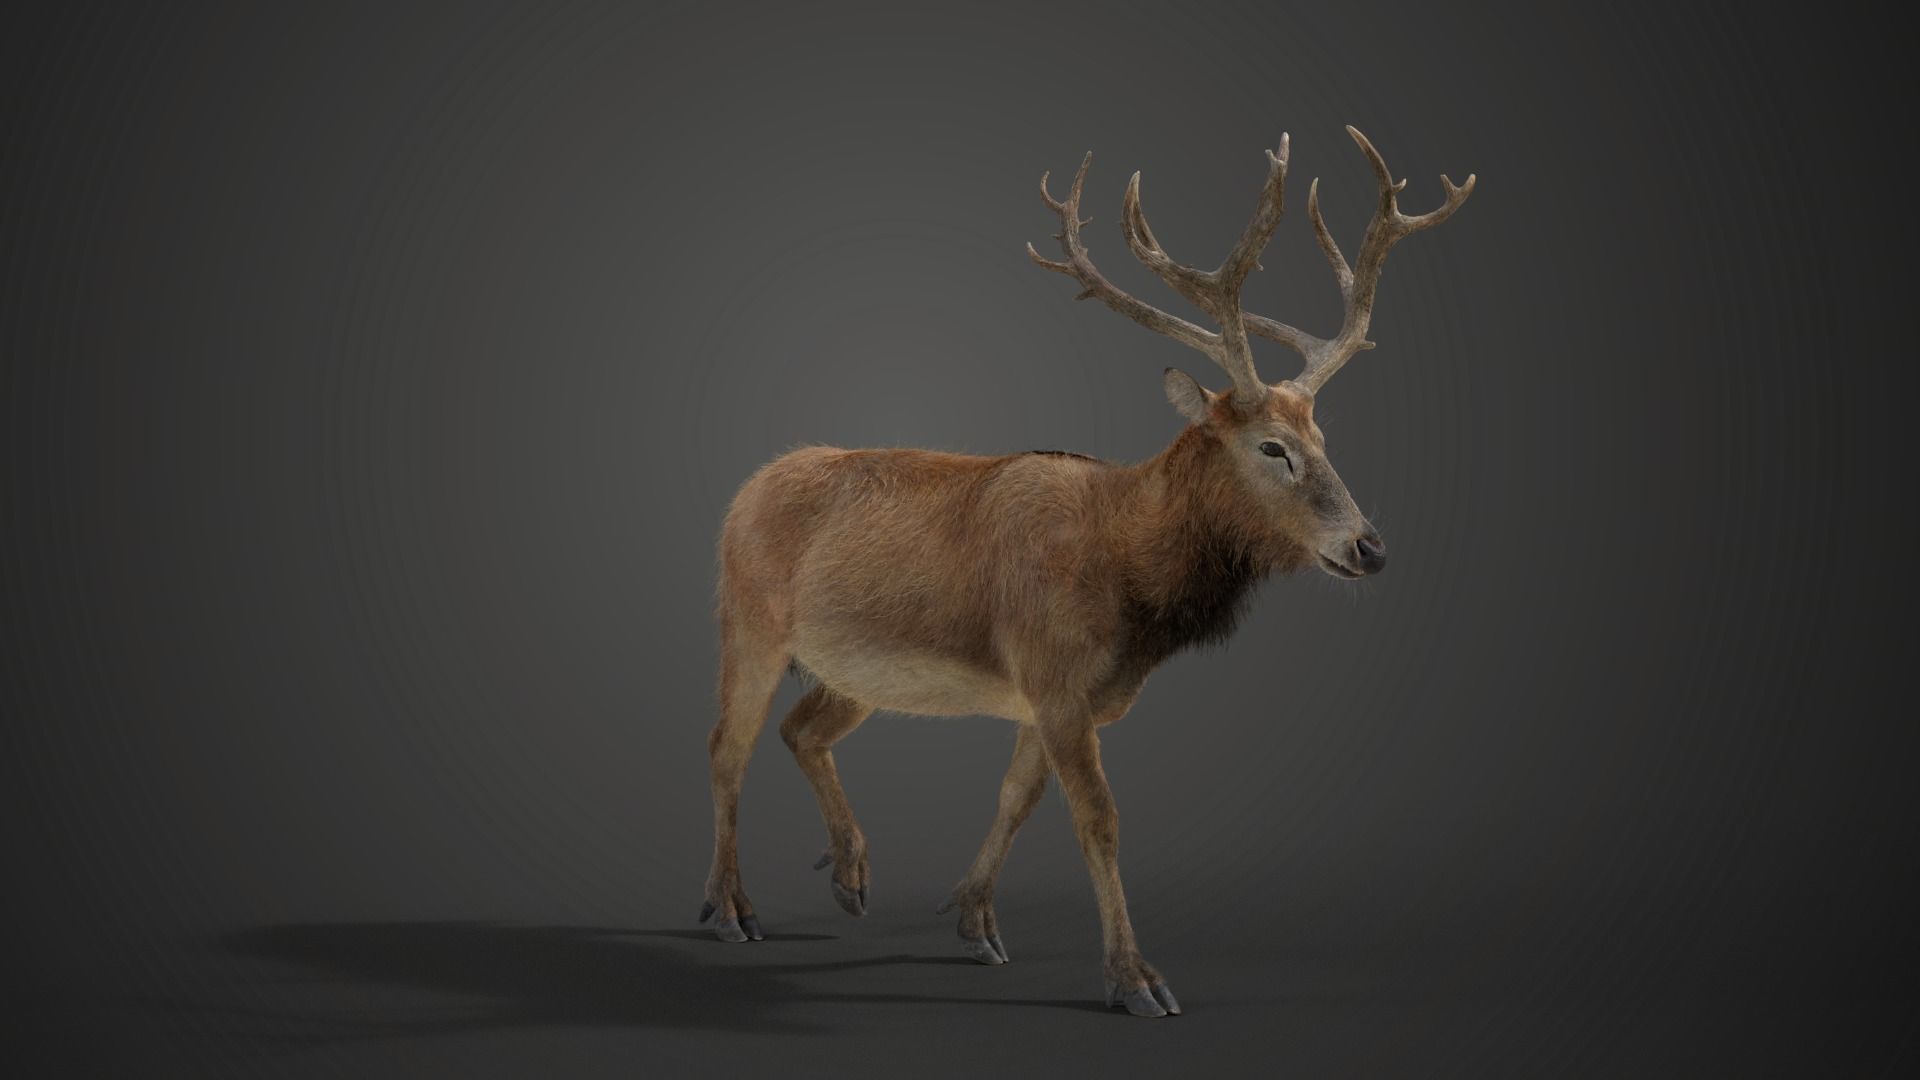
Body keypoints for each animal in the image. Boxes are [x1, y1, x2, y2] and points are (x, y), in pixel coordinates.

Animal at [698, 126, 1475, 1017]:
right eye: (1272, 448)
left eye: (1325, 440)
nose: (1368, 546)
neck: (1128, 583)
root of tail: (744, 492)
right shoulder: (1057, 675)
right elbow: (1098, 819)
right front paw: (1137, 980)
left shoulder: (1050, 695)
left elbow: (1018, 797)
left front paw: (975, 922)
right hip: (749, 619)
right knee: (728, 744)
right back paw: (729, 909)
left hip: (855, 671)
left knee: (800, 729)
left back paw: (852, 875)